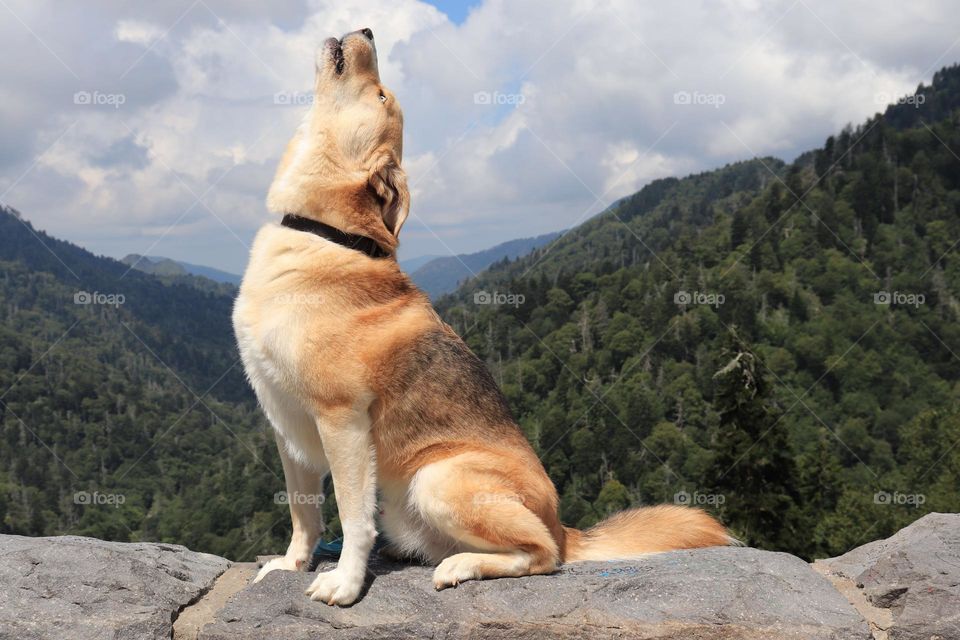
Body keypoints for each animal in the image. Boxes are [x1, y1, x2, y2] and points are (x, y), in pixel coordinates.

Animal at [236, 26, 732, 604]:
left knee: (543, 554)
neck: (327, 234)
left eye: (381, 97)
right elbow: (303, 514)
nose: (368, 31)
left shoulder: (343, 423)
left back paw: (463, 566)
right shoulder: (287, 427)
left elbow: (352, 518)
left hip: (437, 479)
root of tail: (566, 525)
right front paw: (292, 564)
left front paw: (347, 582)